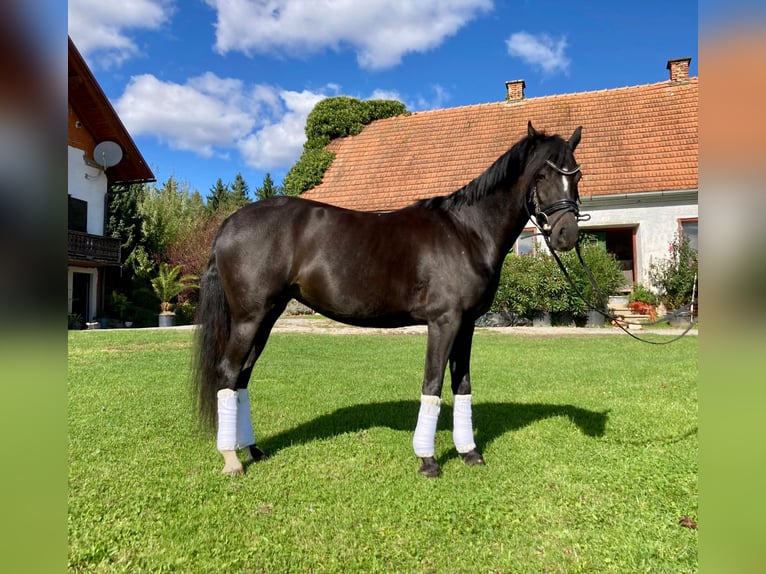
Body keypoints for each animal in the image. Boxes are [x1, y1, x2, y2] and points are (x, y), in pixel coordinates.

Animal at [195, 122, 584, 482]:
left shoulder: (467, 325)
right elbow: (432, 384)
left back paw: (253, 450)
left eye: (578, 174)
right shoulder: (444, 322)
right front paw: (428, 461)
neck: (467, 232)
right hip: (249, 318)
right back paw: (231, 459)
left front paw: (470, 453)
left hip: (267, 317)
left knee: (242, 377)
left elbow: (462, 386)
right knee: (228, 373)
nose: (567, 235)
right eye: (542, 174)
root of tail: (228, 224)